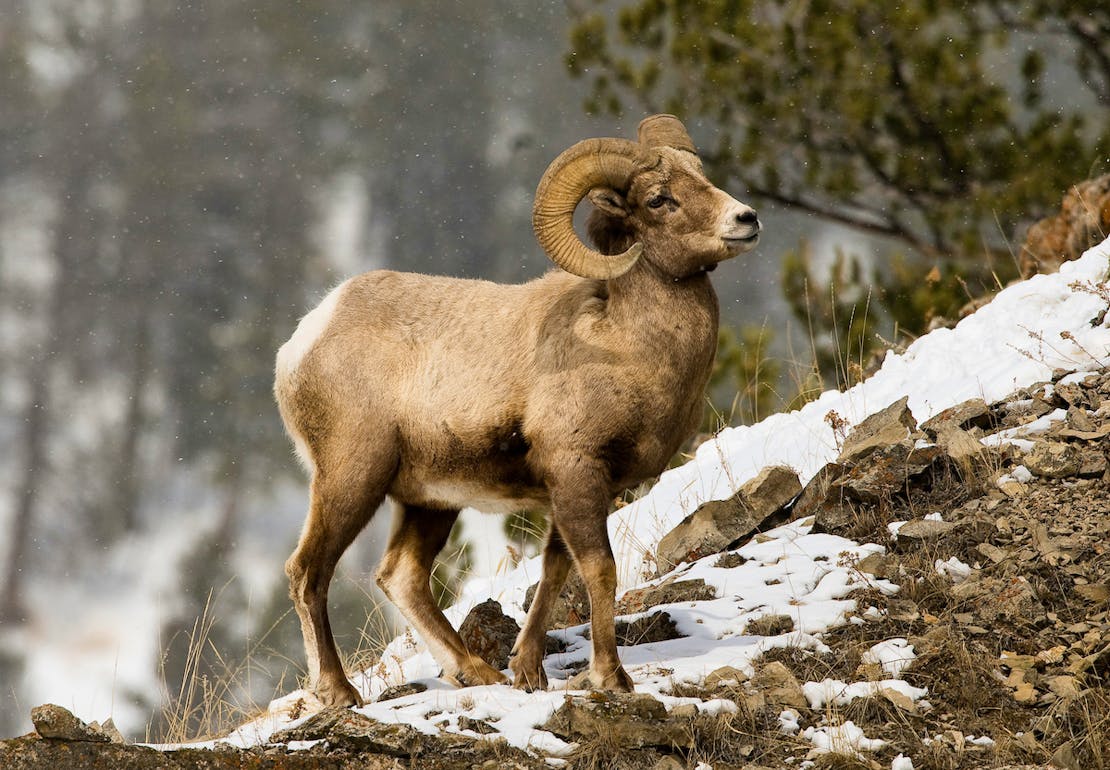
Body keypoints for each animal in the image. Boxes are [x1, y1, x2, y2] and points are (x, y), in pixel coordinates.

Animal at [275, 115, 761, 707]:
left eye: (702, 178)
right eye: (659, 199)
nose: (746, 219)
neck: (623, 343)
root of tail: (305, 338)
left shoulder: (577, 489)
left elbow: (554, 570)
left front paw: (528, 672)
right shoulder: (576, 472)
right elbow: (598, 570)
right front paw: (610, 678)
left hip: (429, 501)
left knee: (401, 576)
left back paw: (476, 673)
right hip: (352, 479)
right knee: (308, 572)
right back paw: (339, 692)